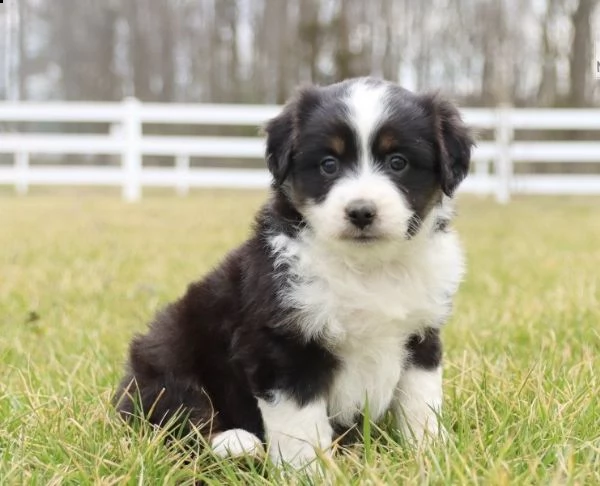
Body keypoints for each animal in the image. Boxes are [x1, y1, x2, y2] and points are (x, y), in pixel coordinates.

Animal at [113, 78, 474, 468]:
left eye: (398, 162)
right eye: (329, 164)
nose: (361, 212)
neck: (366, 267)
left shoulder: (421, 336)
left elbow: (420, 404)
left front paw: (429, 454)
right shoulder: (282, 345)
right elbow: (301, 426)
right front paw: (309, 471)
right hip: (168, 345)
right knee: (179, 416)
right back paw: (235, 442)